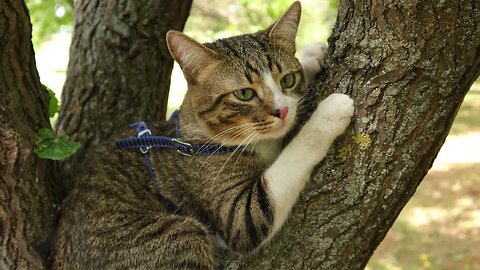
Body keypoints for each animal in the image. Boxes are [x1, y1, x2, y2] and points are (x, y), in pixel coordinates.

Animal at [52, 1, 354, 268]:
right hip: (180, 235)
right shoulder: (236, 211)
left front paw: (312, 57)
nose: (281, 111)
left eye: (288, 80)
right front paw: (330, 111)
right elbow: (284, 169)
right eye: (244, 94)